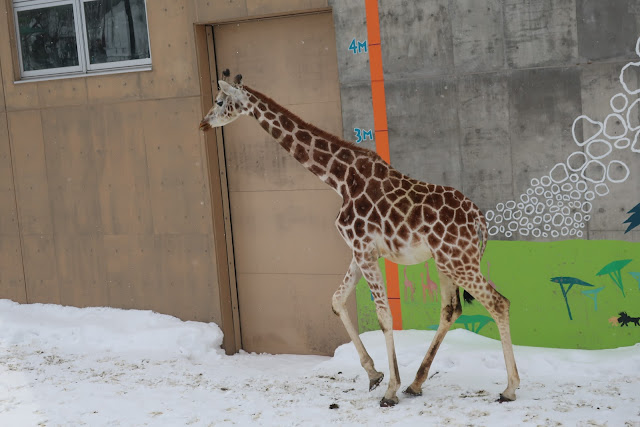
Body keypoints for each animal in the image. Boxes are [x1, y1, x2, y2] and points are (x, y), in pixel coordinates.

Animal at [200, 72, 520, 408]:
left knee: (499, 302)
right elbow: (336, 300)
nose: (203, 123)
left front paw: (389, 390)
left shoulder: (363, 248)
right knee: (450, 310)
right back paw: (417, 383)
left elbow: (384, 316)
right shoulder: (360, 250)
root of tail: (479, 218)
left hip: (459, 260)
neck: (340, 179)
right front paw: (374, 374)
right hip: (445, 261)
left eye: (219, 101)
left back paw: (509, 388)